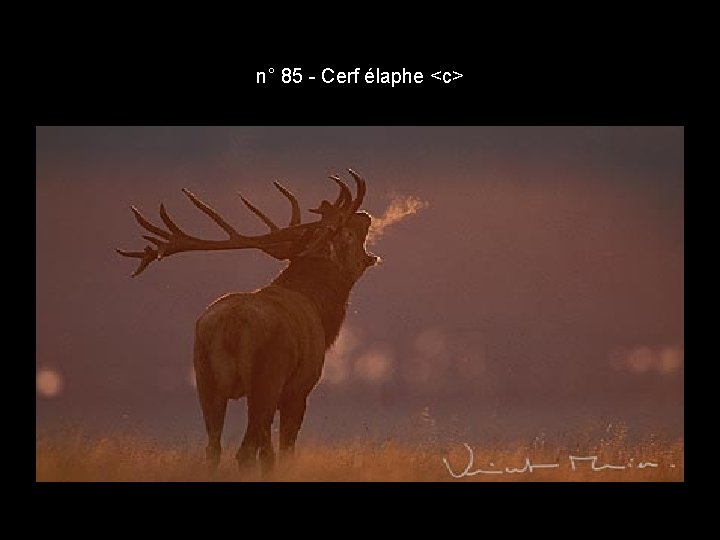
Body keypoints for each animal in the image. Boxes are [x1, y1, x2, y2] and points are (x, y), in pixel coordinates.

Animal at [117, 169, 378, 475]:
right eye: (347, 229)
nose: (365, 215)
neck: (322, 313)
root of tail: (230, 324)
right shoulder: (299, 387)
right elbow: (284, 450)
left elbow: (267, 453)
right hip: (267, 376)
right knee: (244, 451)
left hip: (204, 377)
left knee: (214, 448)